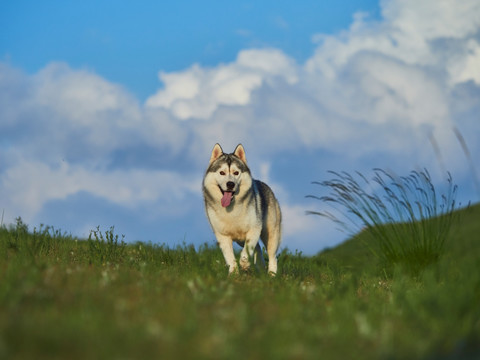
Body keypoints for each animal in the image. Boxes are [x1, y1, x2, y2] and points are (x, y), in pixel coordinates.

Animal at [202, 143, 282, 276]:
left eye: (236, 173)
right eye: (222, 172)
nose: (230, 184)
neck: (231, 209)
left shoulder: (254, 229)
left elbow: (246, 252)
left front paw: (244, 264)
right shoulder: (222, 235)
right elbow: (230, 257)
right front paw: (233, 273)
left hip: (270, 233)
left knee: (272, 255)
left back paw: (271, 274)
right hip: (240, 240)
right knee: (258, 248)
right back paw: (260, 267)